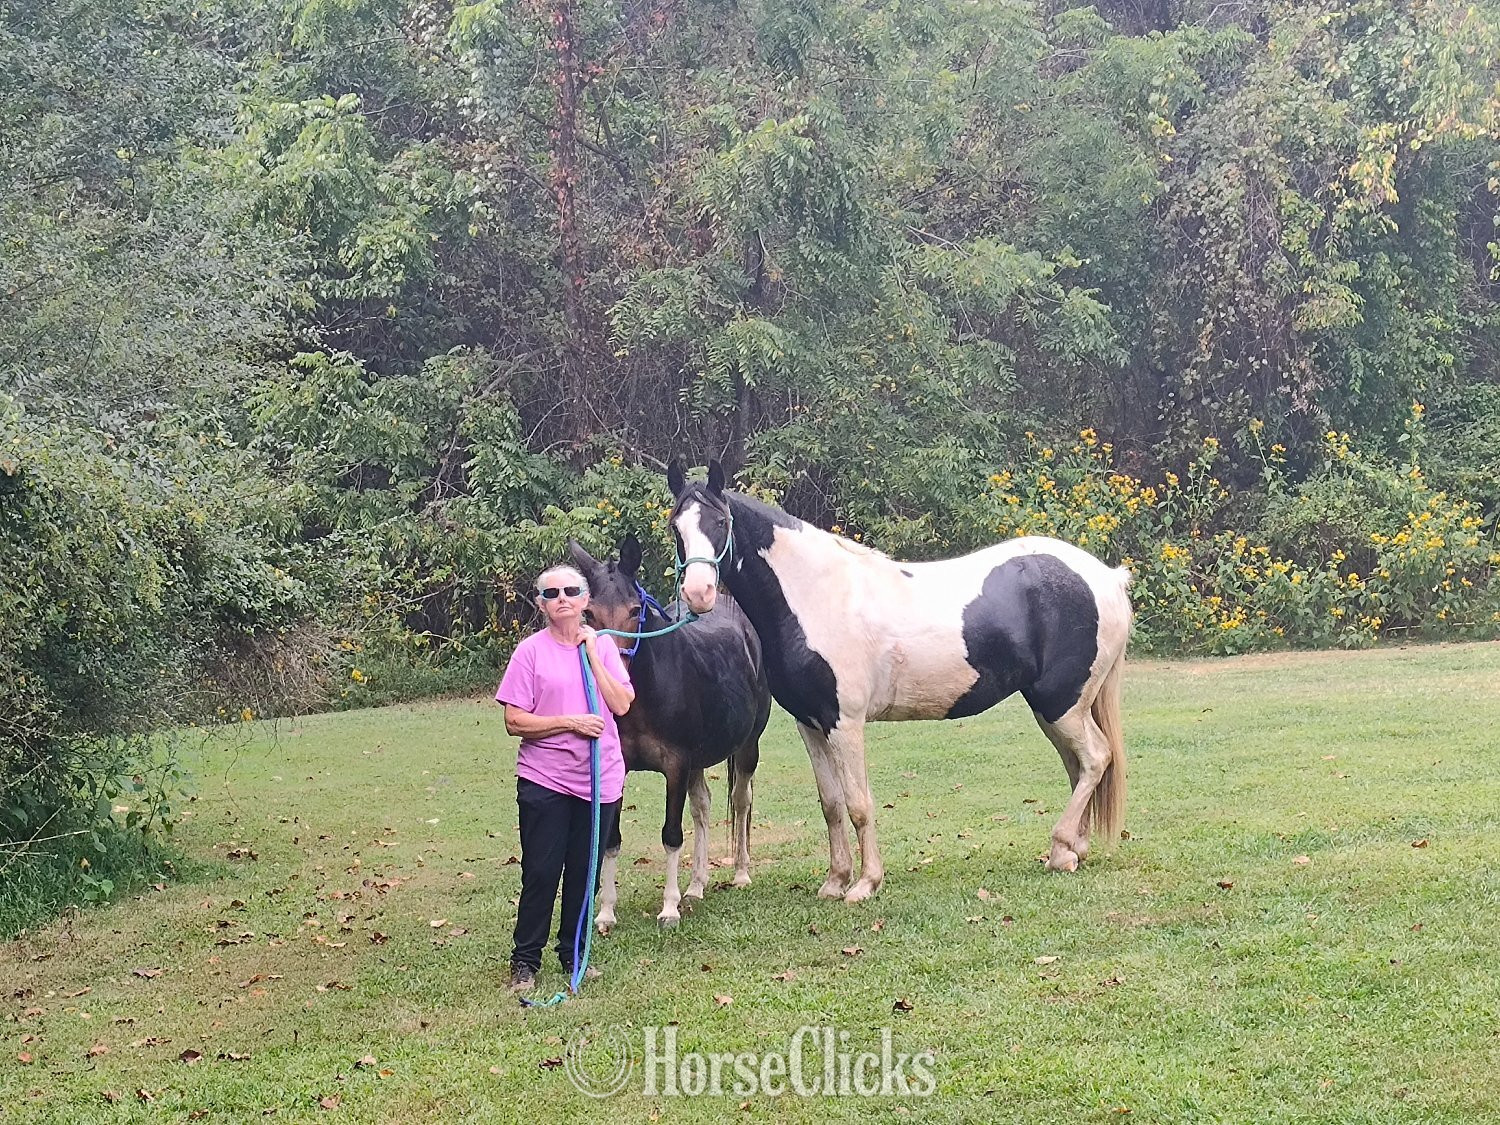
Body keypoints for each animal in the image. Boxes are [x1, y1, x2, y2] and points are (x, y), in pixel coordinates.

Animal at [567, 534, 771, 929]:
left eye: (635, 611)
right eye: (588, 614)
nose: (615, 677)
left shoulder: (676, 765)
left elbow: (672, 835)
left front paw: (669, 908)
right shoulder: (623, 767)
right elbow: (611, 839)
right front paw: (606, 912)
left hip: (747, 747)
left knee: (740, 801)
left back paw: (740, 873)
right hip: (700, 762)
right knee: (703, 806)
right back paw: (696, 885)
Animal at [666, 460, 1132, 903]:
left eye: (720, 522)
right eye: (676, 526)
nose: (699, 594)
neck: (816, 595)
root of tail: (1107, 578)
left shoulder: (845, 723)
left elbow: (859, 804)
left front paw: (865, 884)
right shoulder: (810, 725)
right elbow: (831, 804)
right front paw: (835, 881)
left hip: (1061, 705)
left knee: (1095, 758)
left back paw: (1060, 848)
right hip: (1055, 710)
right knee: (1078, 765)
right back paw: (1073, 850)